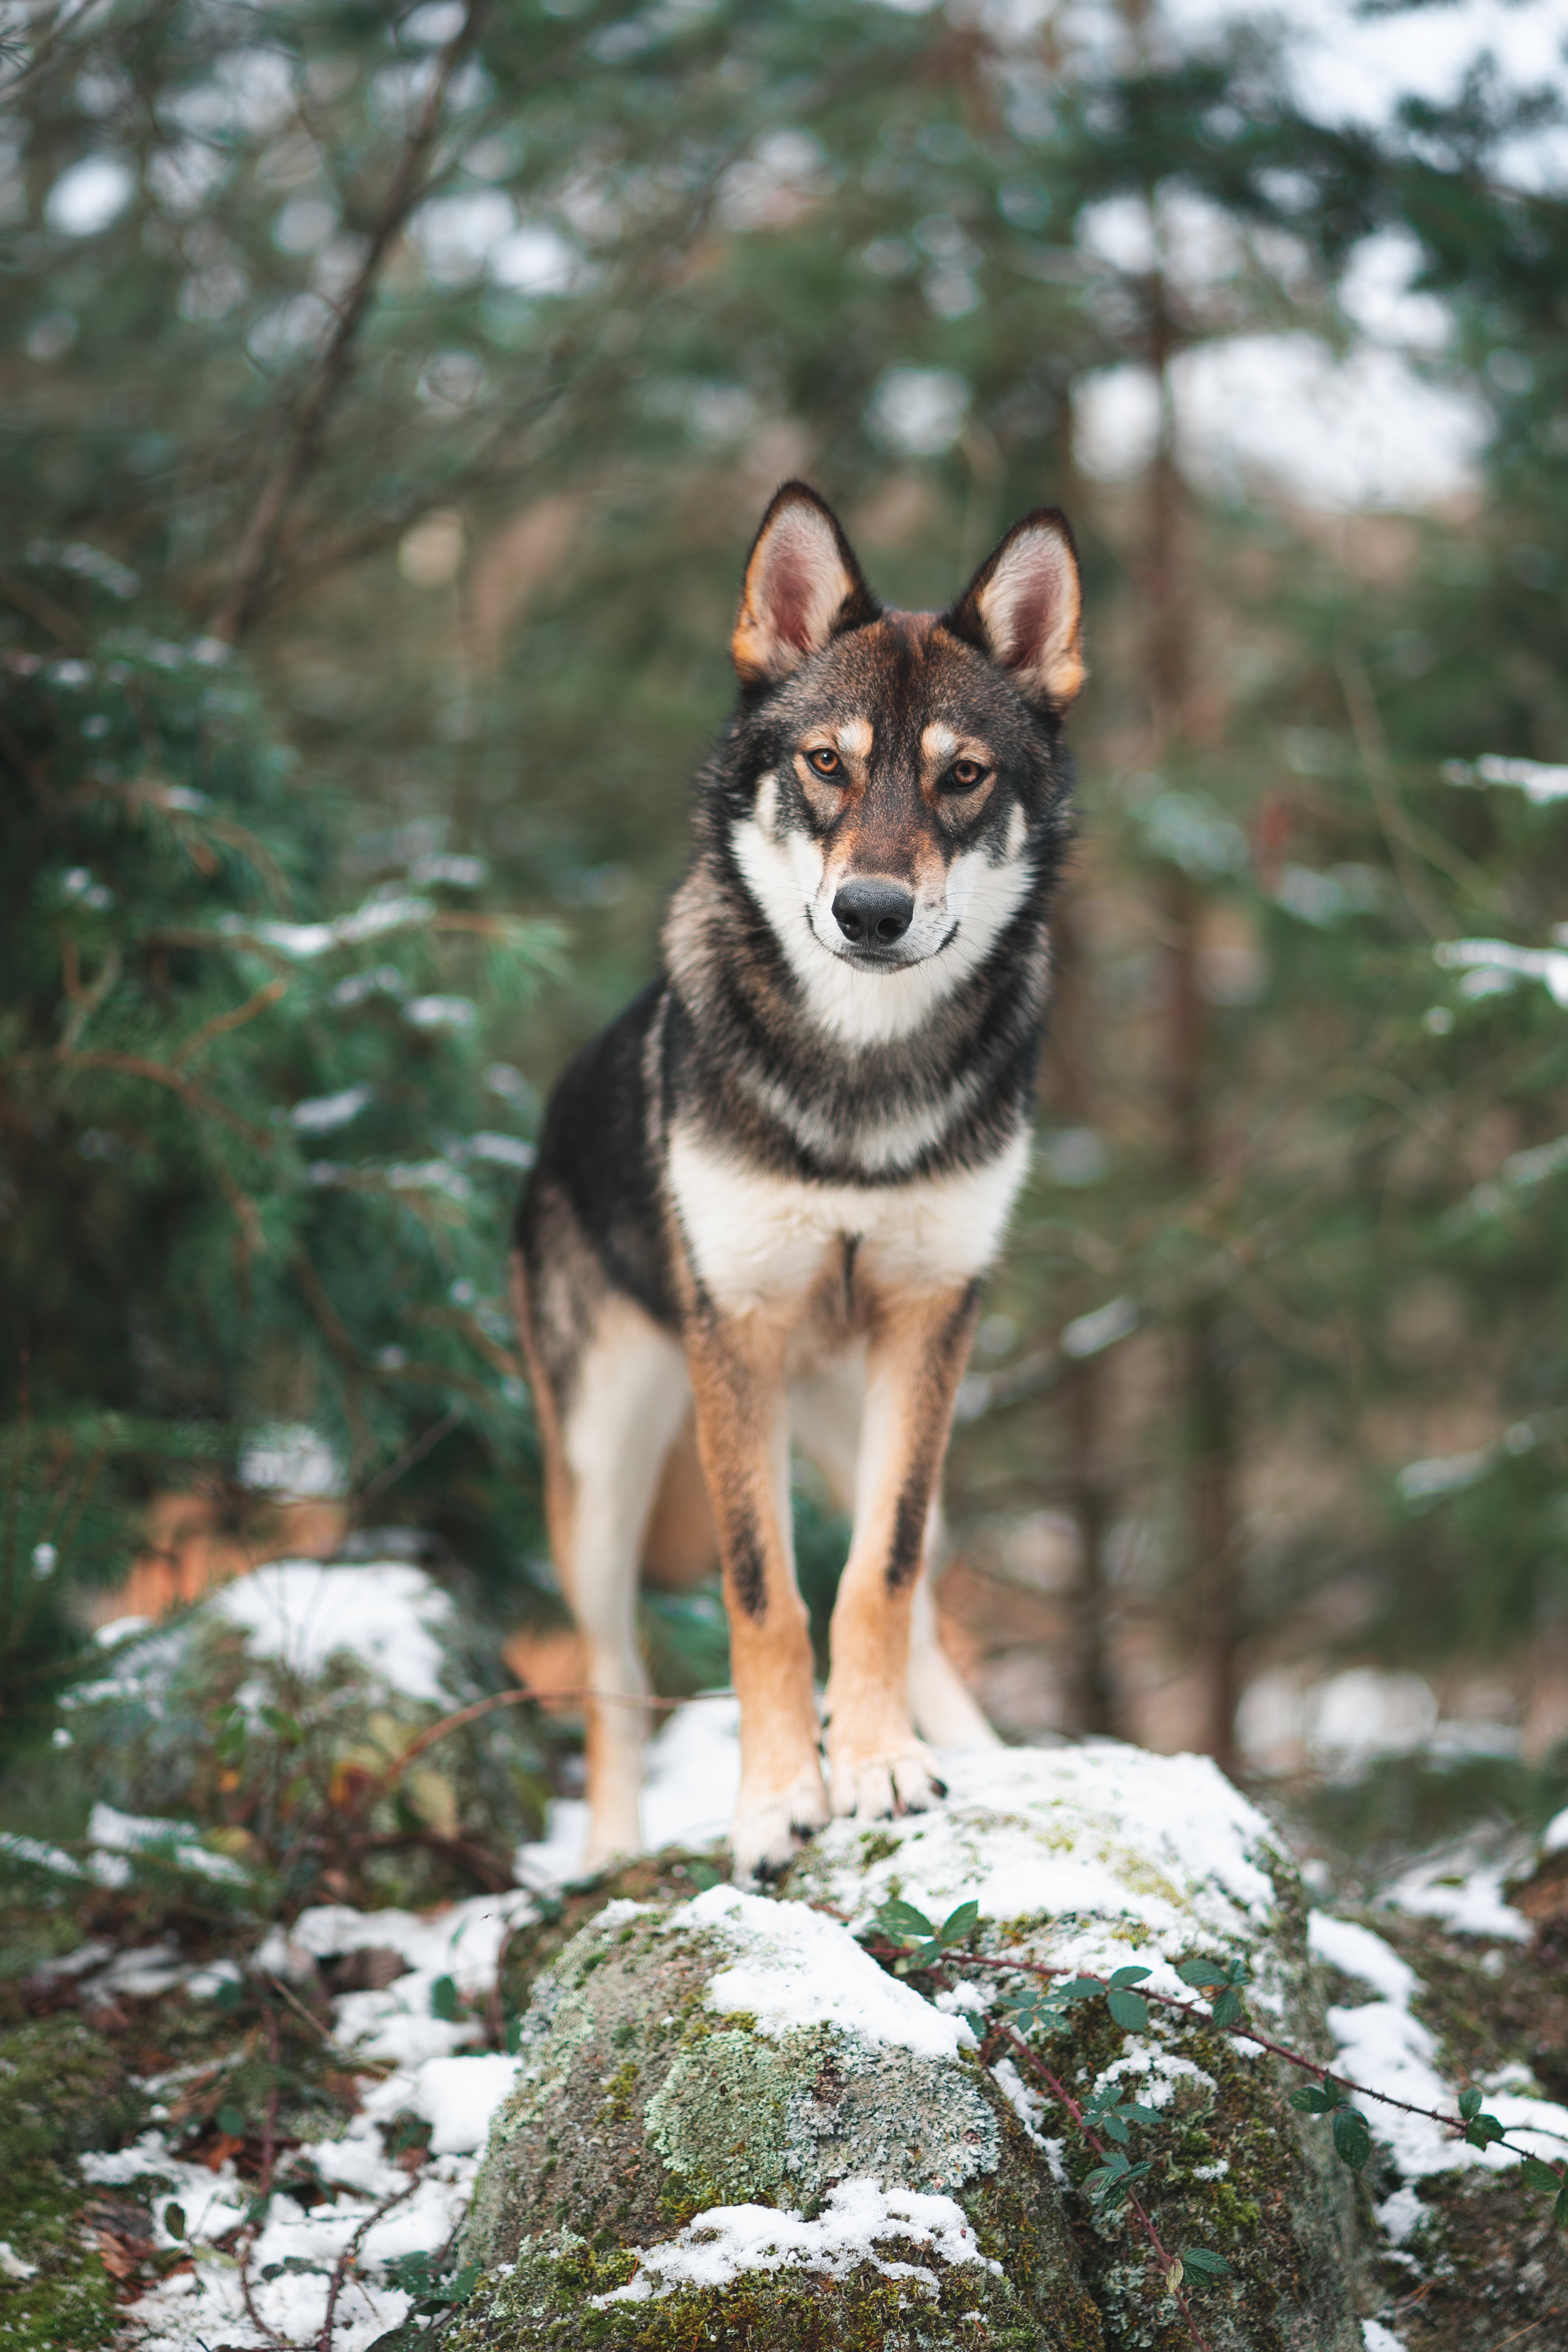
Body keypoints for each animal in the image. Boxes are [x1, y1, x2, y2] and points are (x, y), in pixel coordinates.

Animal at [510, 487, 1086, 1881]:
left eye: (960, 775)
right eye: (826, 763)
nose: (872, 910)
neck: (857, 1080)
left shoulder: (933, 1321)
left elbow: (873, 1578)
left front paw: (876, 1766)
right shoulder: (741, 1338)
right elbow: (762, 1594)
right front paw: (777, 1801)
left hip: (874, 1413)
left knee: (919, 1594)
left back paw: (976, 1754)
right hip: (602, 1473)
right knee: (609, 1677)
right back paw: (607, 1853)